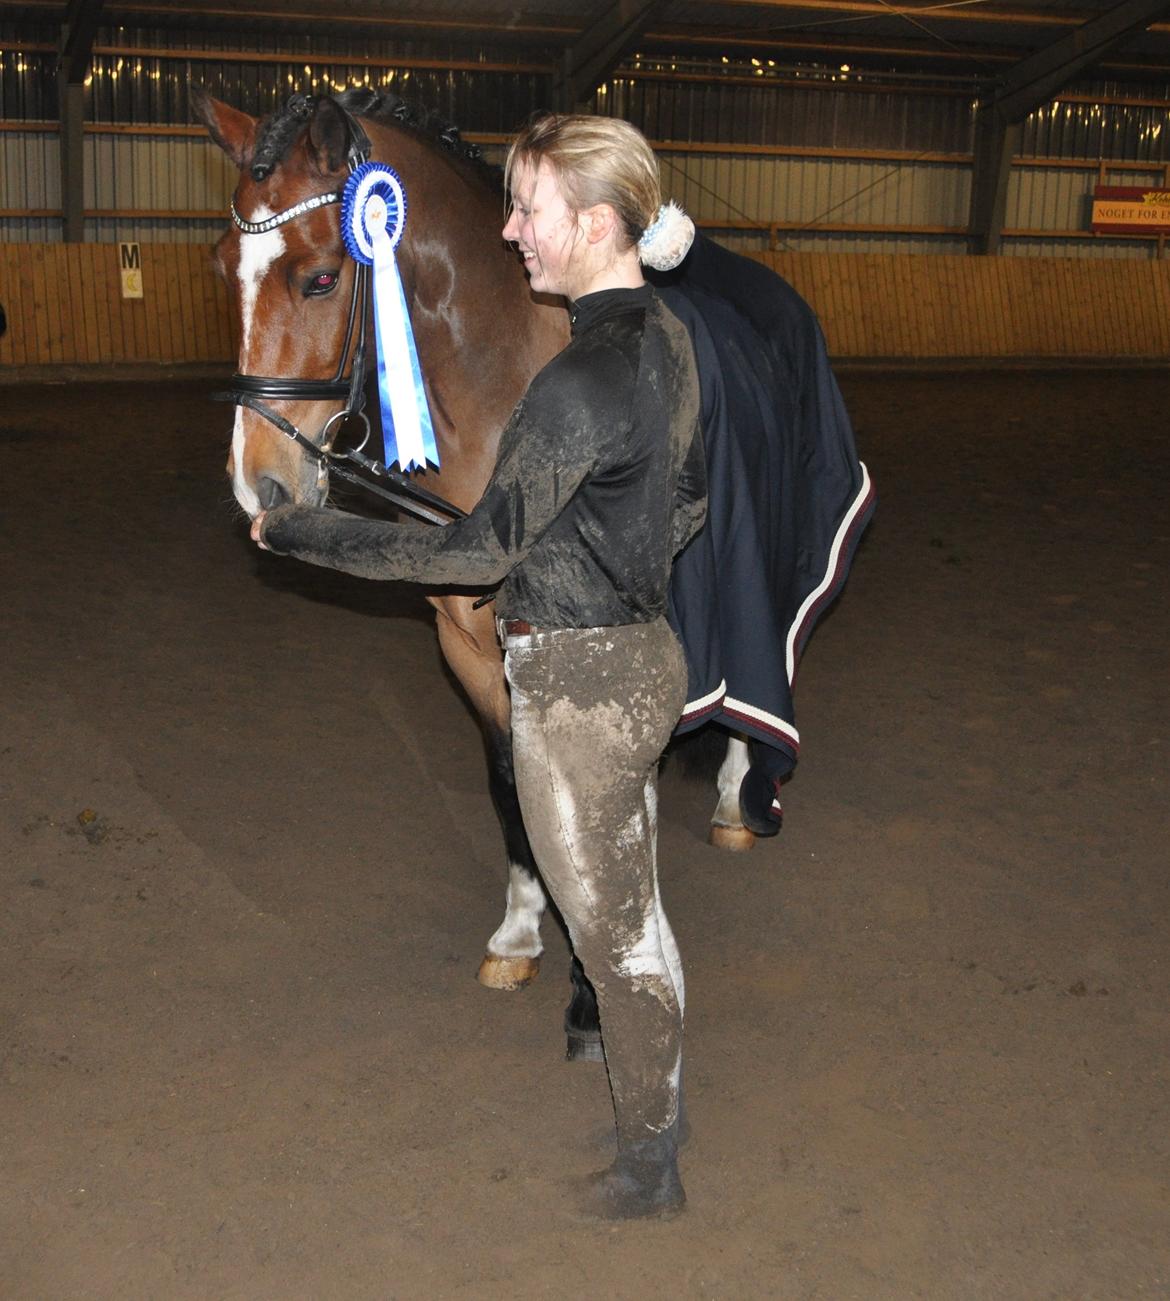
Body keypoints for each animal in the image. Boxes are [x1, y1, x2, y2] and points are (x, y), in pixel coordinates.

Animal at [192, 86, 869, 1051]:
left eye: (321, 277)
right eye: (224, 269)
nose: (261, 485)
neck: (505, 373)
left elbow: (603, 807)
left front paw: (595, 986)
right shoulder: (472, 645)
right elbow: (513, 783)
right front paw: (519, 934)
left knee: (764, 652)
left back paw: (740, 794)